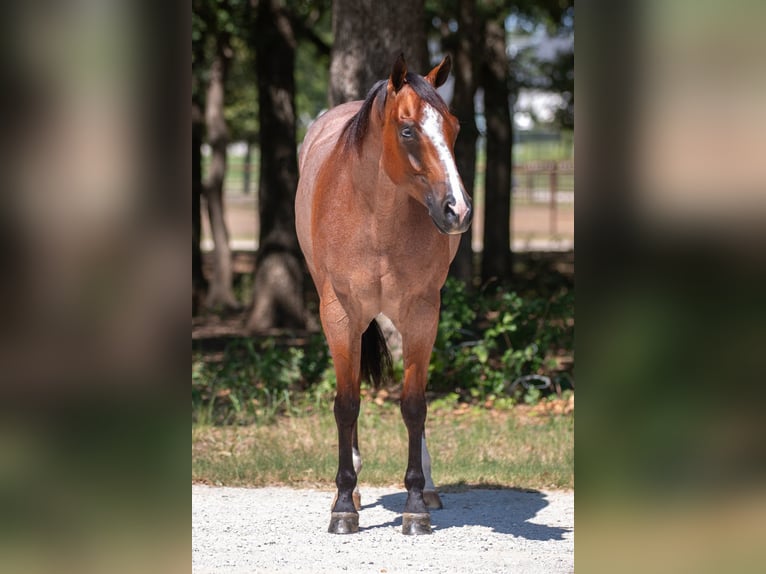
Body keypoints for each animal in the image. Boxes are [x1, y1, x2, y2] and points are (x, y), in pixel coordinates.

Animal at [295, 53, 472, 535]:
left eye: (454, 127)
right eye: (407, 130)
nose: (458, 210)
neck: (375, 216)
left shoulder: (422, 313)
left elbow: (414, 404)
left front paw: (415, 504)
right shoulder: (340, 314)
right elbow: (346, 403)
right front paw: (343, 504)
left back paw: (429, 489)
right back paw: (353, 489)